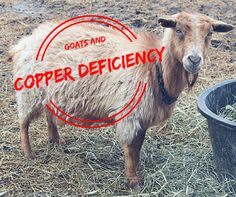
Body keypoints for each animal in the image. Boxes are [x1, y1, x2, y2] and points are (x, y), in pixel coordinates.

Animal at [8, 12, 233, 188]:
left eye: (209, 33)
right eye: (178, 30)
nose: (194, 60)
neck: (156, 67)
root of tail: (26, 40)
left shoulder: (144, 116)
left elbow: (139, 145)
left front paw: (139, 168)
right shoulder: (129, 115)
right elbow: (130, 149)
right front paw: (133, 180)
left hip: (49, 92)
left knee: (48, 114)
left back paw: (55, 140)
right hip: (30, 91)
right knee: (23, 122)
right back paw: (28, 153)